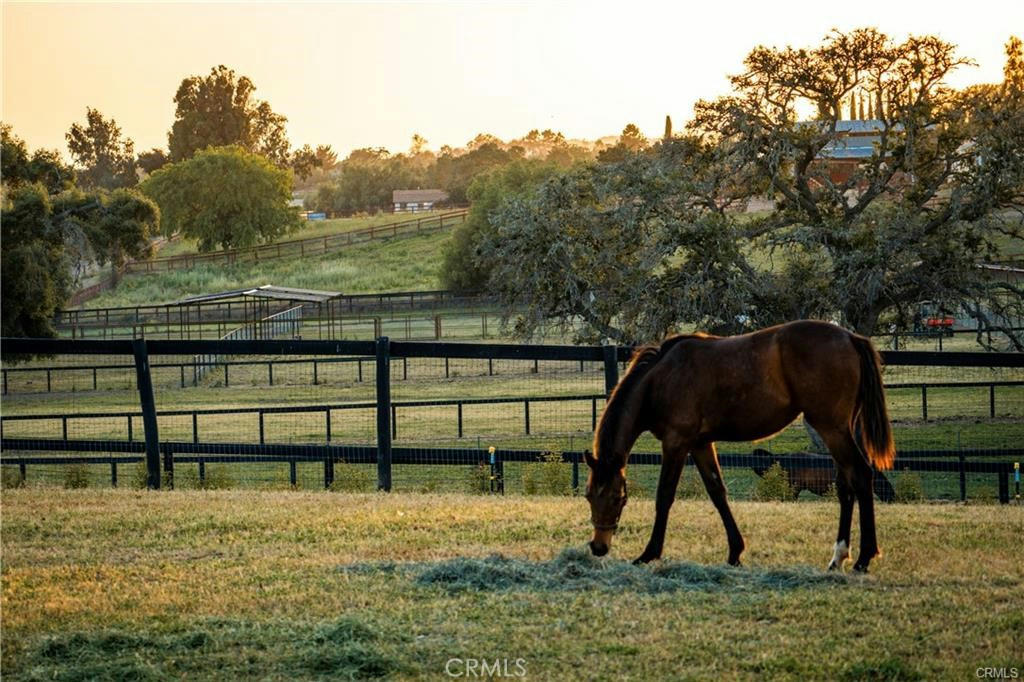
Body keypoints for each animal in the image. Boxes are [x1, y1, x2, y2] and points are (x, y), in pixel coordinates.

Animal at [585, 319, 897, 569]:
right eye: (589, 496)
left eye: (617, 498)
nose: (599, 547)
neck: (661, 378)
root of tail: (850, 338)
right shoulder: (700, 444)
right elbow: (718, 493)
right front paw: (735, 552)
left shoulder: (676, 443)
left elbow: (664, 496)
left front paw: (648, 554)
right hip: (841, 430)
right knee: (846, 485)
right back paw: (838, 557)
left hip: (831, 428)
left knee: (861, 476)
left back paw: (864, 558)